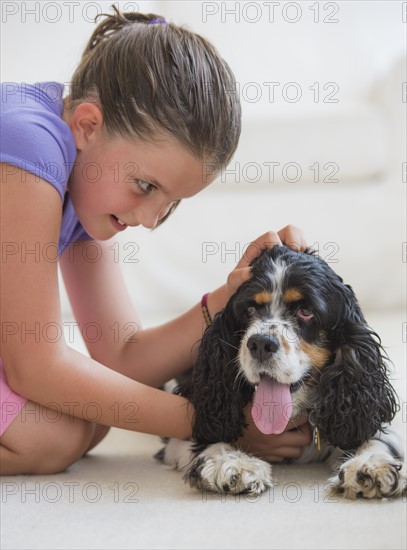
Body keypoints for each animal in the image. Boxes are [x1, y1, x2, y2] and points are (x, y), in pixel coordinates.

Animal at [158, 248, 406, 502]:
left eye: (305, 311)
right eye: (249, 309)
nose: (260, 343)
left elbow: (376, 437)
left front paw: (370, 466)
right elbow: (210, 433)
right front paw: (231, 463)